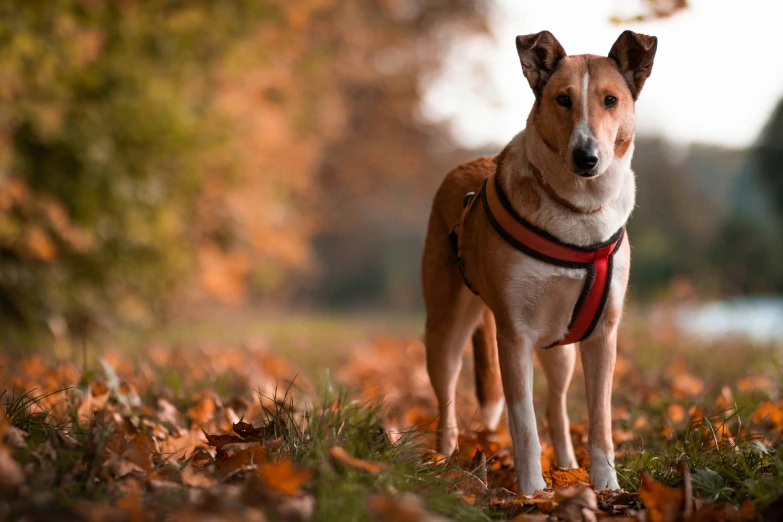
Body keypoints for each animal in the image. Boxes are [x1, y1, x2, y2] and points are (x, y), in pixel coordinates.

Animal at [422, 30, 656, 494]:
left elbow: (599, 420)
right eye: (563, 99)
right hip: (444, 333)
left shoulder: (602, 336)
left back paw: (567, 466)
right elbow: (523, 423)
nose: (587, 157)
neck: (577, 212)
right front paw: (531, 492)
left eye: (610, 100)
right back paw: (444, 459)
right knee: (448, 400)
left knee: (557, 408)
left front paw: (606, 485)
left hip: (559, 347)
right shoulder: (514, 334)